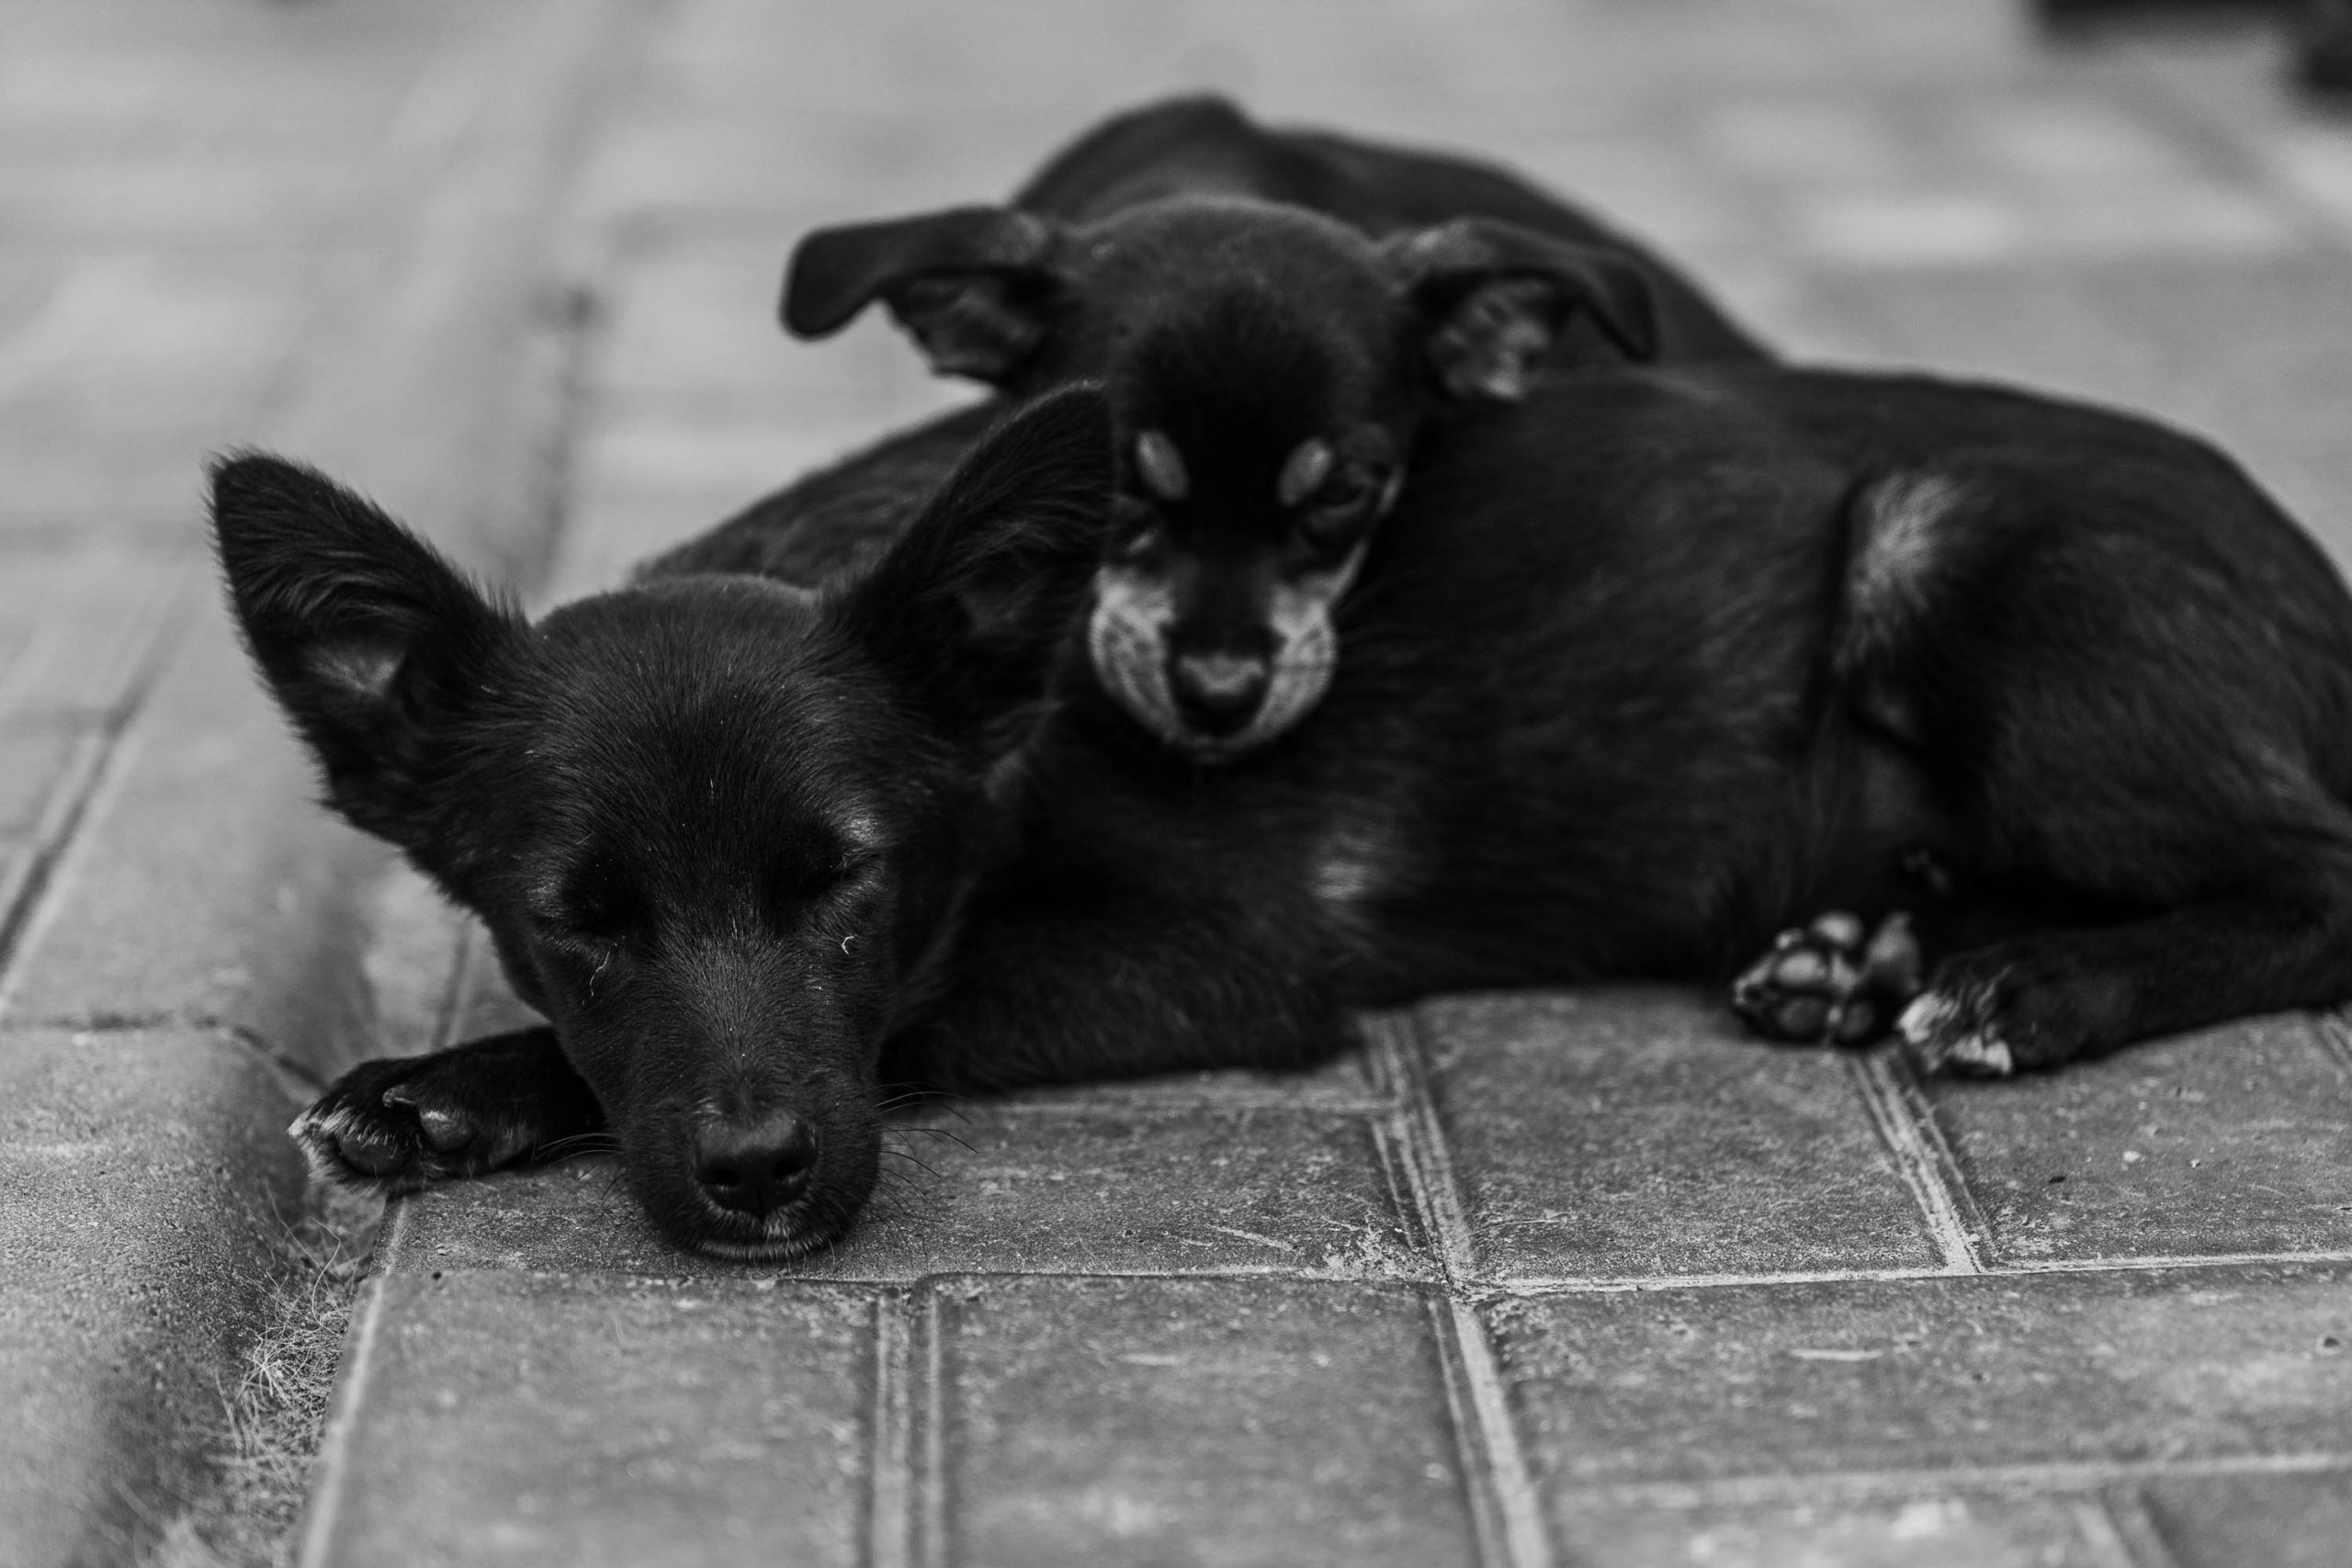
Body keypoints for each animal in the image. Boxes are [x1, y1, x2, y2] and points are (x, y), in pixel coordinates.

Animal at [219, 341, 2352, 1262]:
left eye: (852, 885)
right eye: (572, 920)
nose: (754, 1176)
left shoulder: (1216, 953)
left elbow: (911, 1014)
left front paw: (473, 1083)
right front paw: (447, 1089)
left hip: (1944, 538)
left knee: (2317, 878)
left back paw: (2018, 984)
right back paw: (1861, 944)